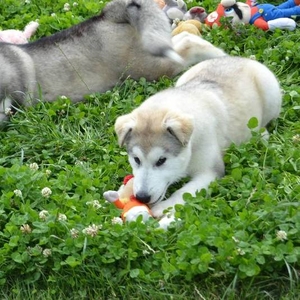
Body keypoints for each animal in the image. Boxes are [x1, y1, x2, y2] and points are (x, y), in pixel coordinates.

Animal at [115, 55, 282, 227]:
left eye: (161, 160)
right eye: (136, 159)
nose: (142, 198)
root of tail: (238, 58)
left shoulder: (210, 171)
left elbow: (184, 191)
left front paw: (163, 207)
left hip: (270, 92)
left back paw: (262, 134)